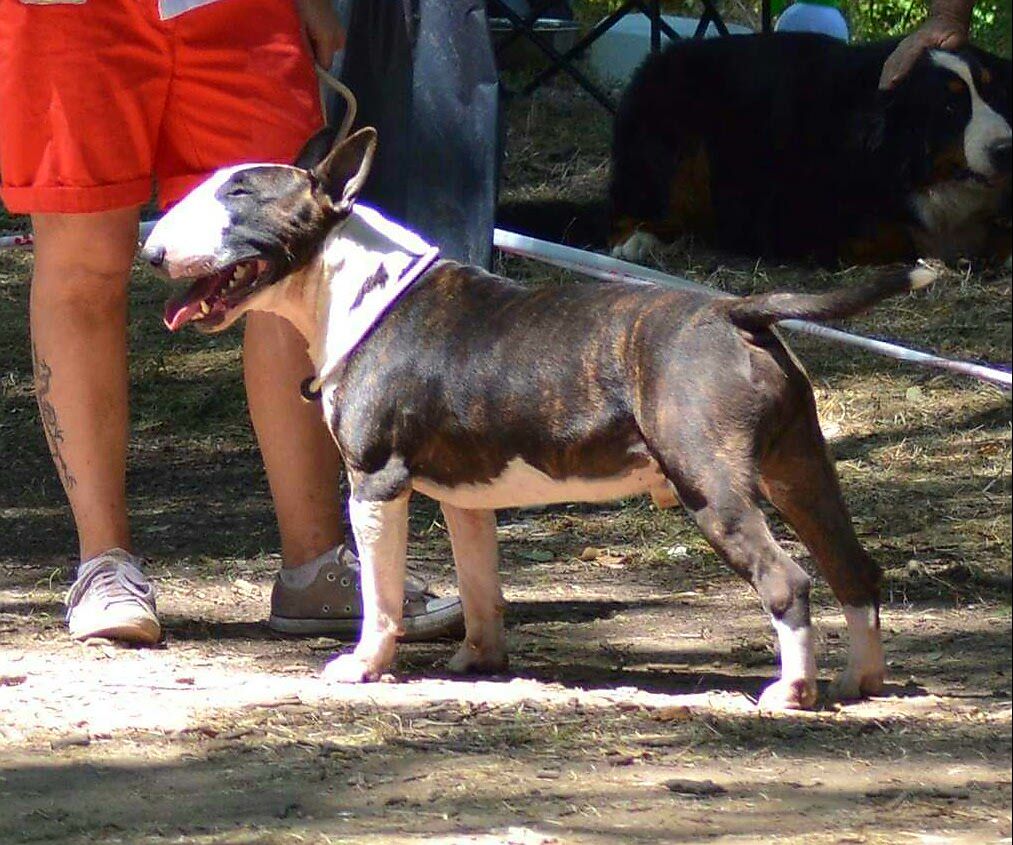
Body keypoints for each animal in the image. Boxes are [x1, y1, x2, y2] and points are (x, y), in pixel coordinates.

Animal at [141, 127, 937, 710]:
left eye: (241, 193)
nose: (150, 250)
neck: (357, 283)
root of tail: (737, 311)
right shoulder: (464, 496)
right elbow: (479, 583)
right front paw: (477, 657)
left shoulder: (375, 483)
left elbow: (381, 594)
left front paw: (364, 664)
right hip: (800, 469)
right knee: (852, 566)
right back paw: (858, 680)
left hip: (713, 485)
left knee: (787, 580)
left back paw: (791, 691)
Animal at [611, 33, 1012, 266]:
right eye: (949, 108)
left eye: (993, 93)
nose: (1006, 149)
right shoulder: (794, 215)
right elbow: (900, 235)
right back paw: (638, 242)